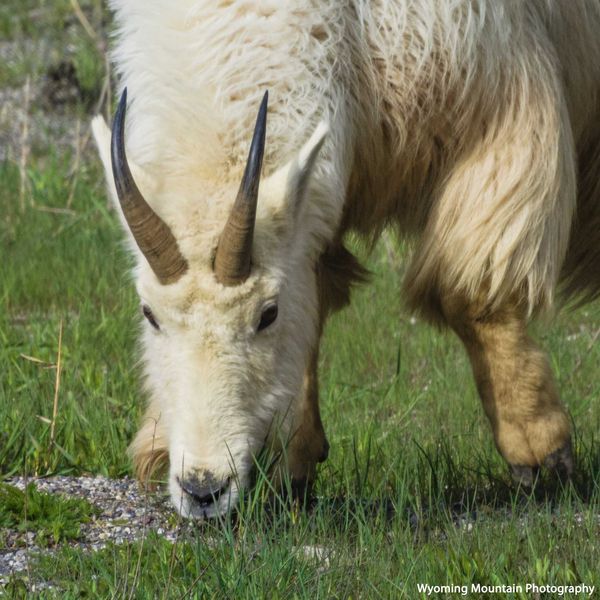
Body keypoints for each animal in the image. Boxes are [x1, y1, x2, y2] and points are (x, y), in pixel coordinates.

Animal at [92, 0, 600, 516]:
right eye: (149, 313)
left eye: (267, 313)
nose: (203, 489)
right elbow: (316, 295)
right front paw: (293, 463)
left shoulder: (501, 98)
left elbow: (468, 295)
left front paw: (538, 451)